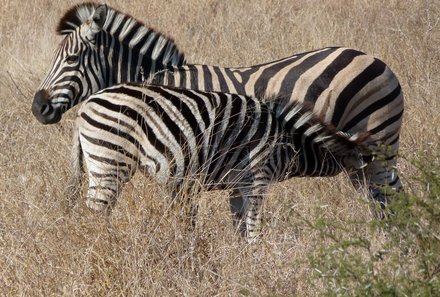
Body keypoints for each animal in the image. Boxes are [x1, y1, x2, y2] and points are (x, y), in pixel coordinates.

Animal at [32, 1, 404, 210]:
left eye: (73, 59)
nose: (38, 108)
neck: (161, 80)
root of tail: (379, 62)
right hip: (362, 161)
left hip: (379, 145)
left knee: (389, 199)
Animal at [71, 82, 368, 238]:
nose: (374, 200)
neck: (290, 143)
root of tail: (87, 103)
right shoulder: (258, 177)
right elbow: (253, 225)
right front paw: (256, 257)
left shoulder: (238, 186)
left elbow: (239, 225)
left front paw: (240, 257)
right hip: (111, 159)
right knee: (96, 211)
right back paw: (101, 243)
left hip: (102, 160)